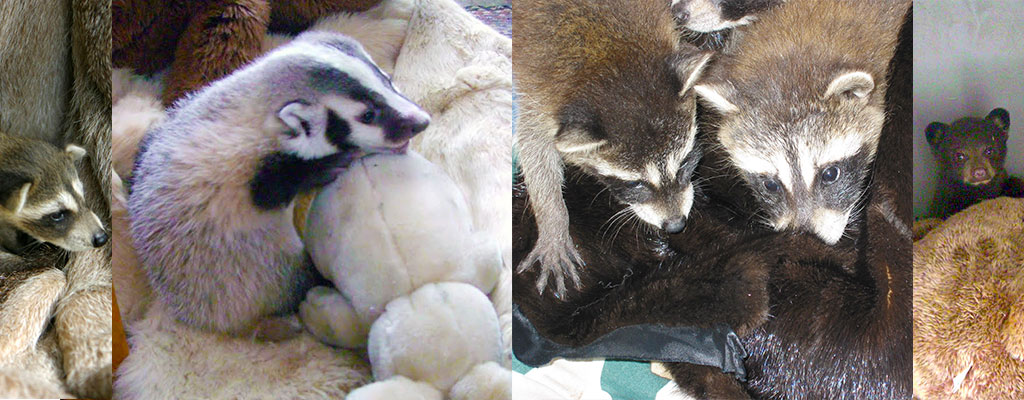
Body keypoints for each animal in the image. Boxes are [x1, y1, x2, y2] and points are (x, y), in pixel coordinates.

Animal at [516, 0, 708, 296]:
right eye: (635, 183)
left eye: (685, 163)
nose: (676, 224)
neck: (609, 62)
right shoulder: (538, 90)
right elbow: (533, 145)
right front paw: (552, 218)